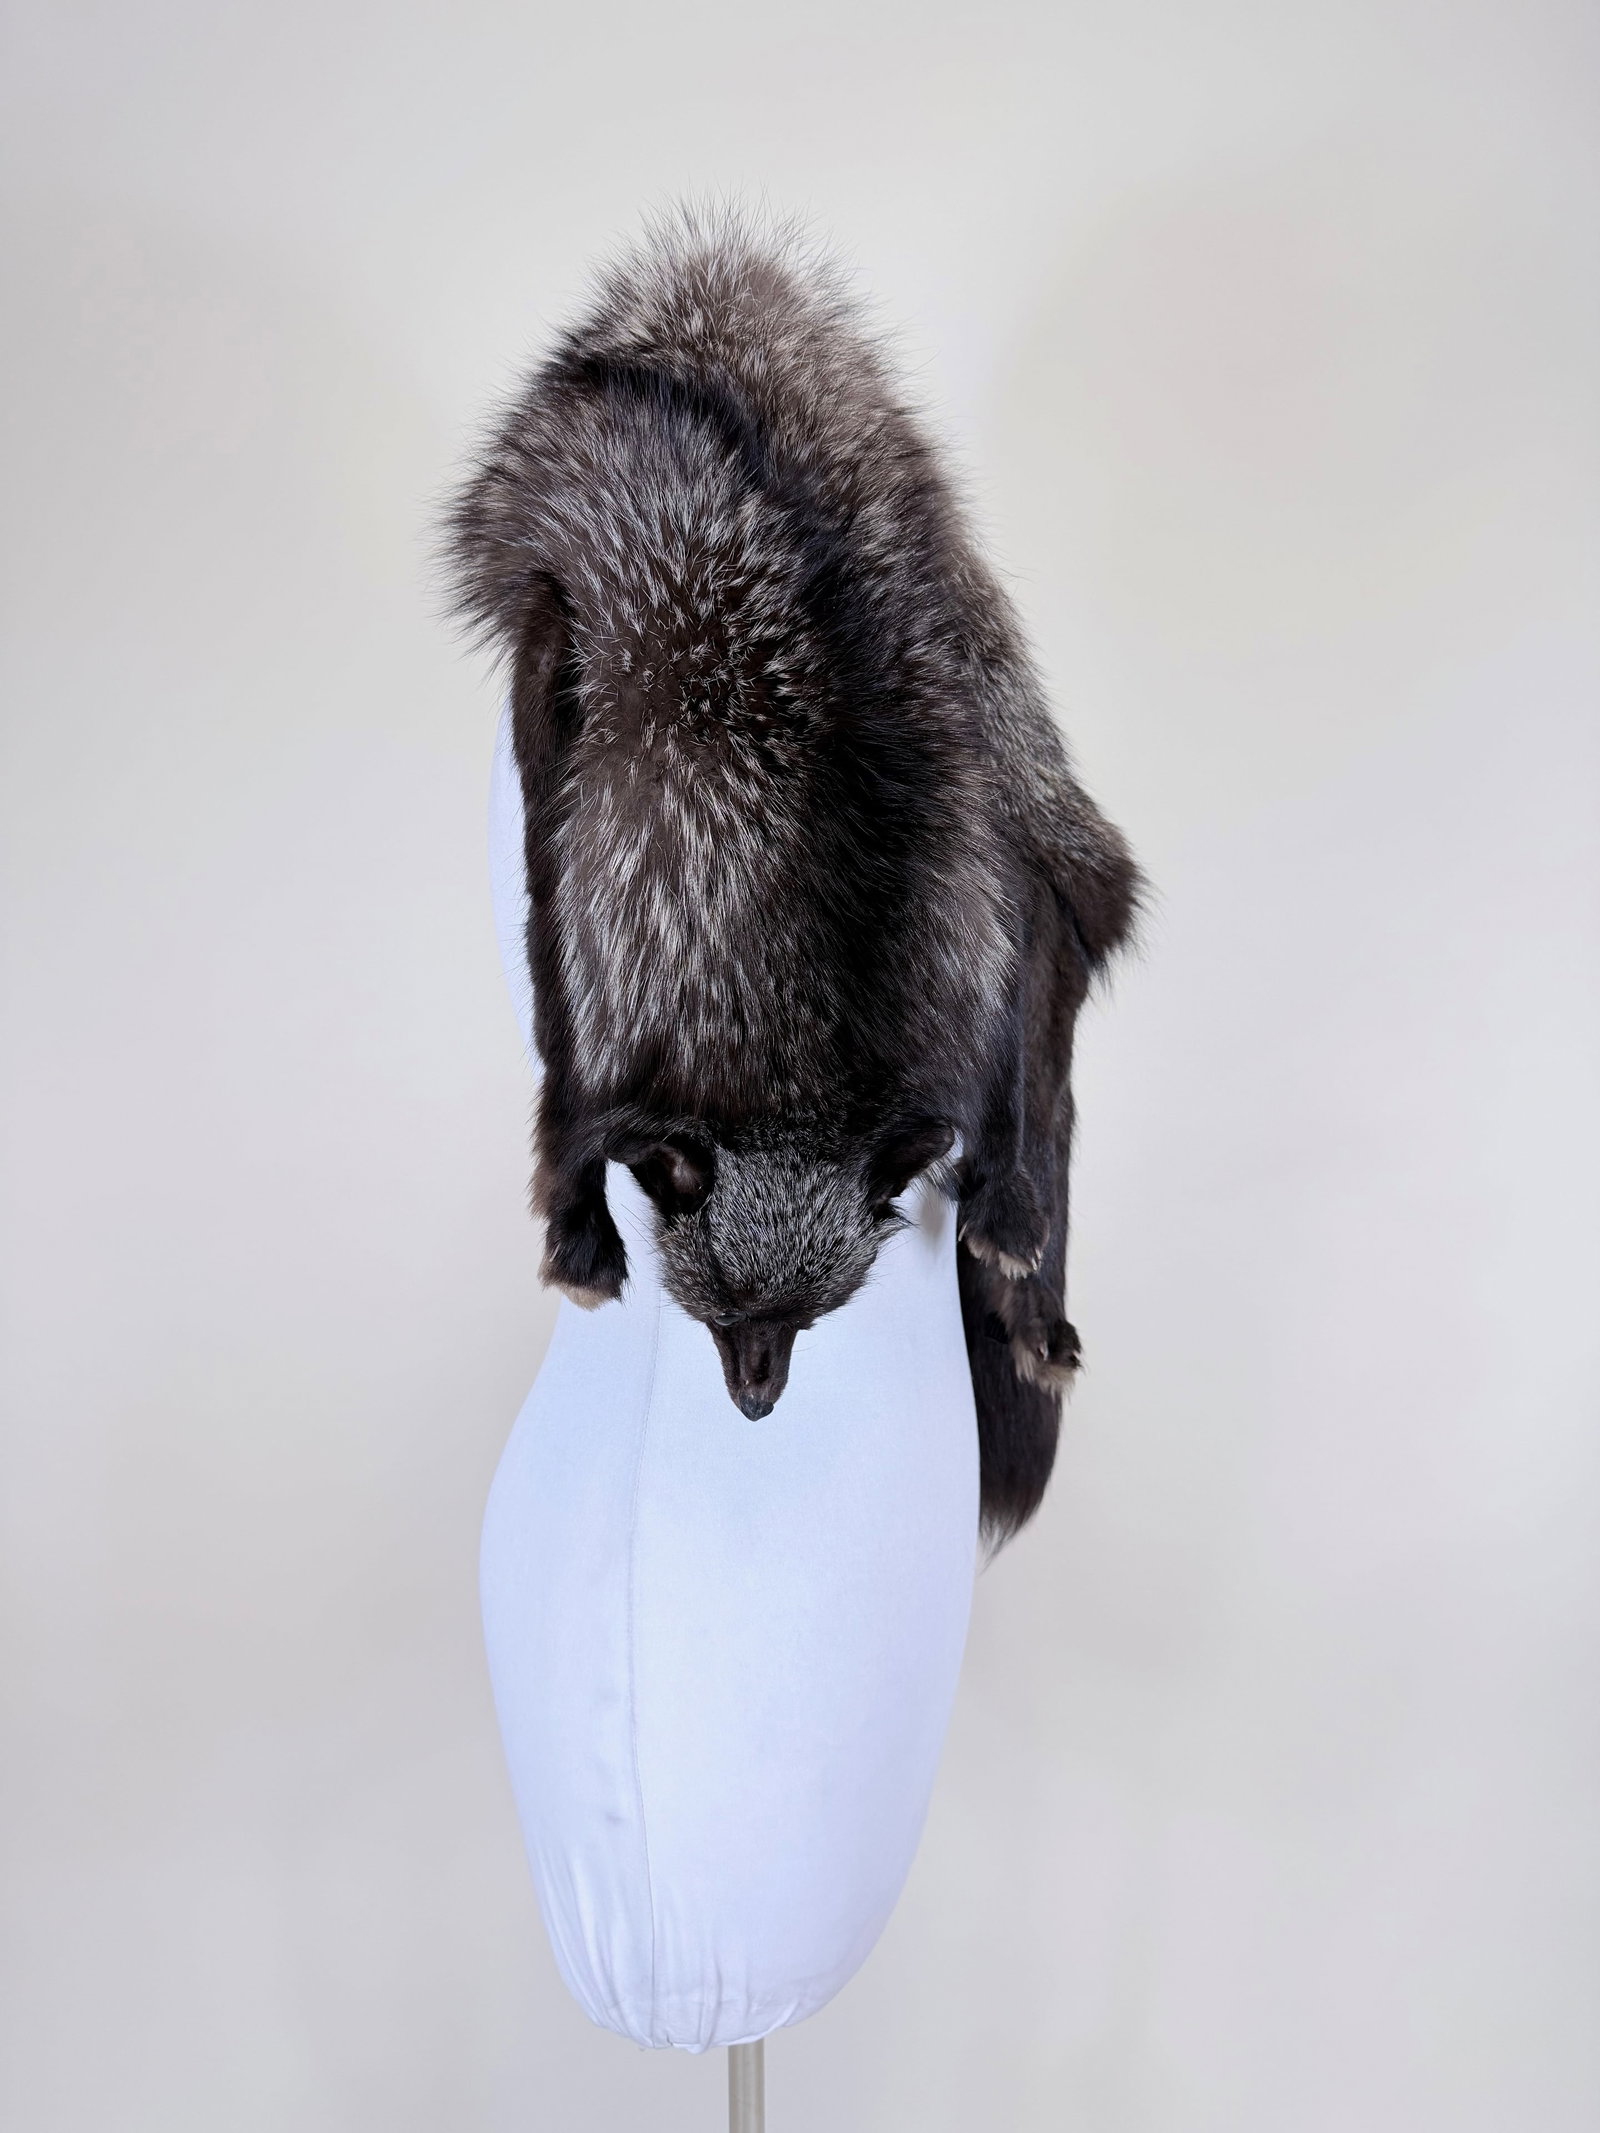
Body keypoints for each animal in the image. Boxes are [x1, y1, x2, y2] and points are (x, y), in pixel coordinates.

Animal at [444, 208, 1140, 1541]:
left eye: (813, 1319)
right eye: (716, 1308)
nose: (759, 1413)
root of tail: (717, 282)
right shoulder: (561, 707)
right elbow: (558, 1017)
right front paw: (574, 1215)